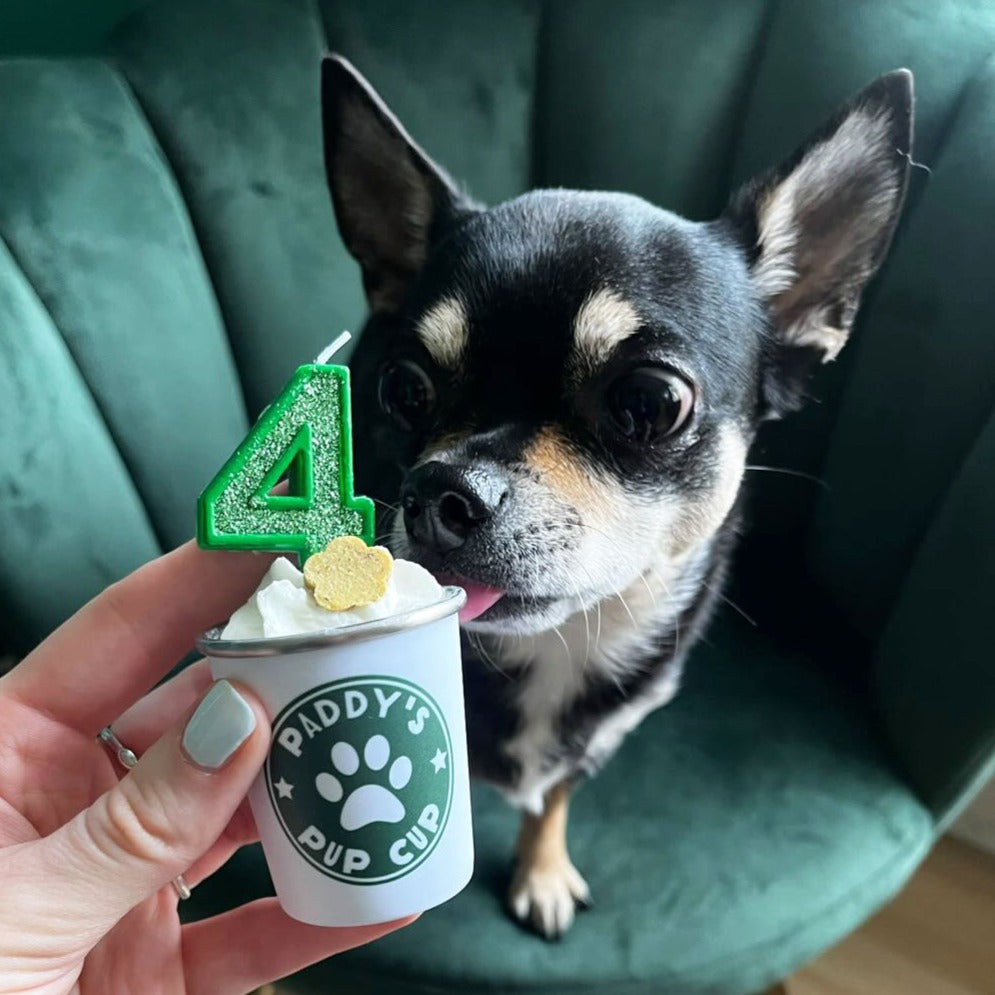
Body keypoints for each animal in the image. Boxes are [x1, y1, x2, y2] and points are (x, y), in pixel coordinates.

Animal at [322, 56, 916, 940]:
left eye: (649, 401)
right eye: (401, 388)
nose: (438, 489)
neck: (558, 646)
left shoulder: (599, 738)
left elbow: (555, 795)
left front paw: (540, 867)